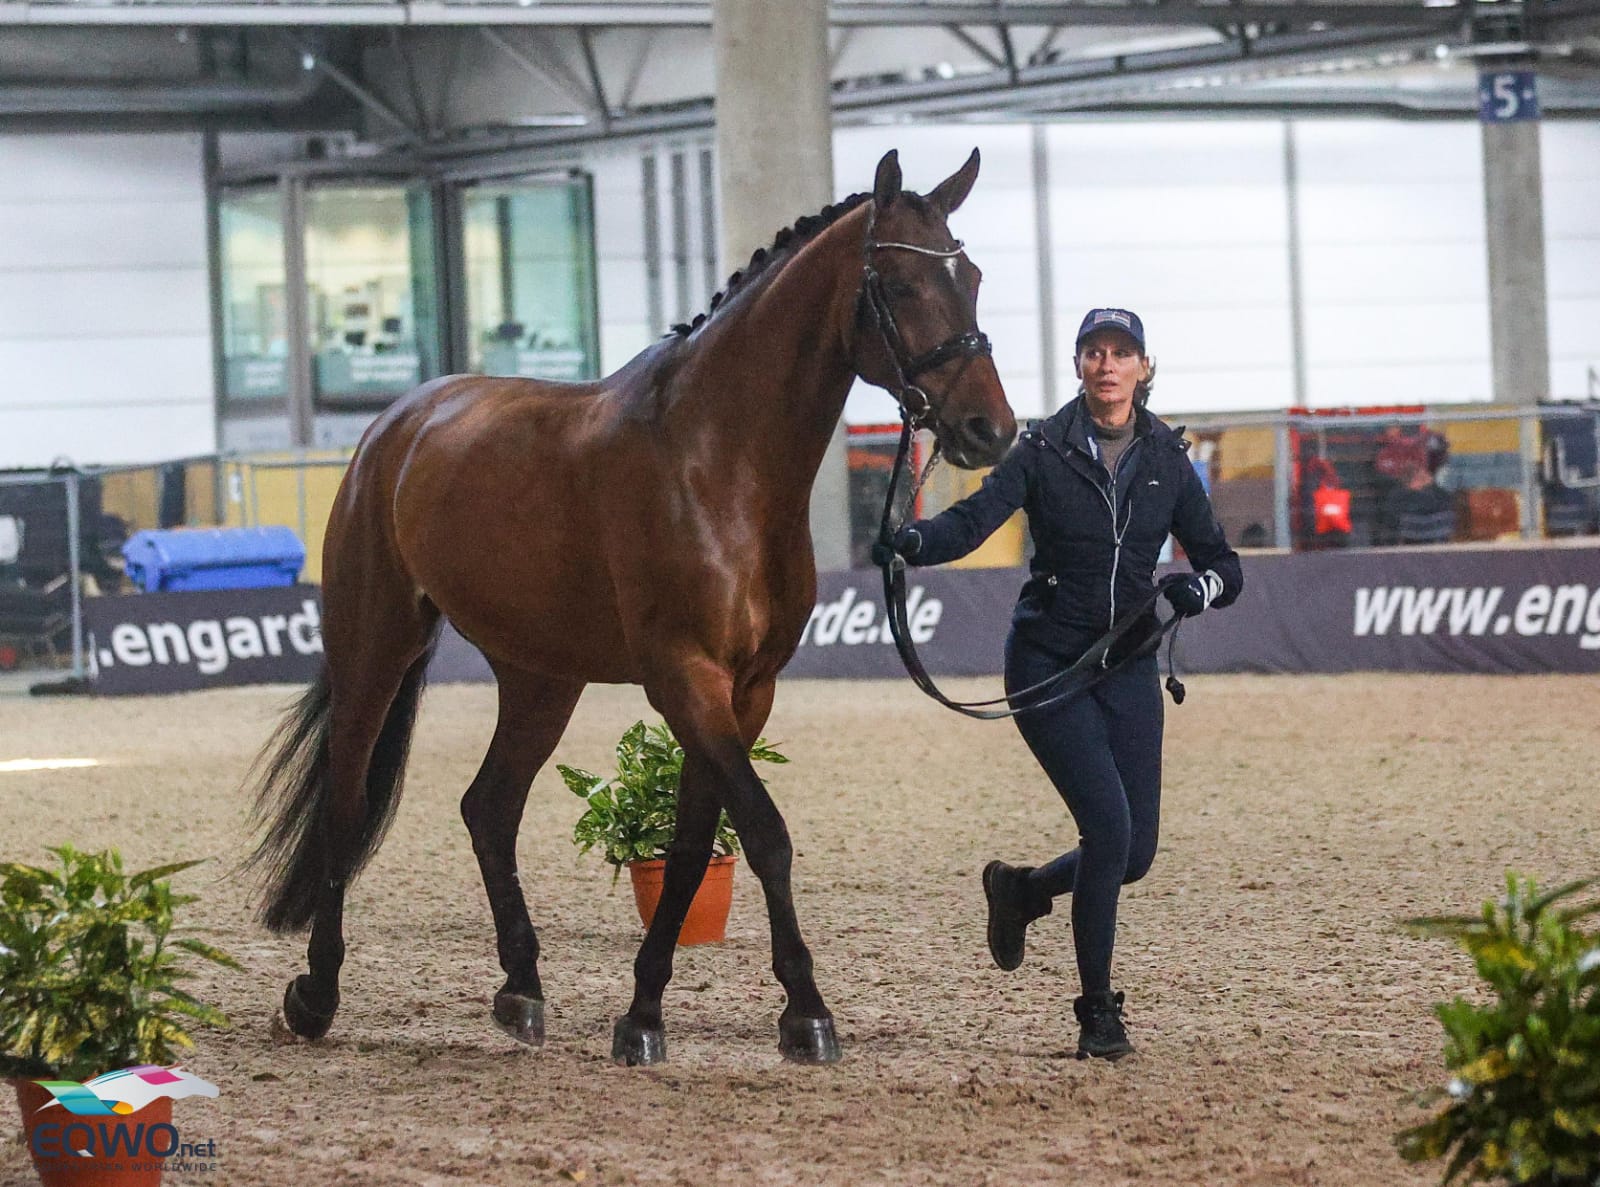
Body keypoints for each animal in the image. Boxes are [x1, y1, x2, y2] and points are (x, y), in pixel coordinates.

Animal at [249, 146, 1017, 1068]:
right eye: (900, 284)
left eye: (972, 277)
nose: (991, 429)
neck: (716, 459)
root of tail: (394, 428)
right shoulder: (683, 677)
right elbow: (765, 832)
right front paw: (806, 1011)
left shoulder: (746, 690)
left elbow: (690, 848)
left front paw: (644, 1012)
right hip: (377, 645)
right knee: (347, 802)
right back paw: (316, 994)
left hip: (540, 678)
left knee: (488, 807)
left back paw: (522, 989)